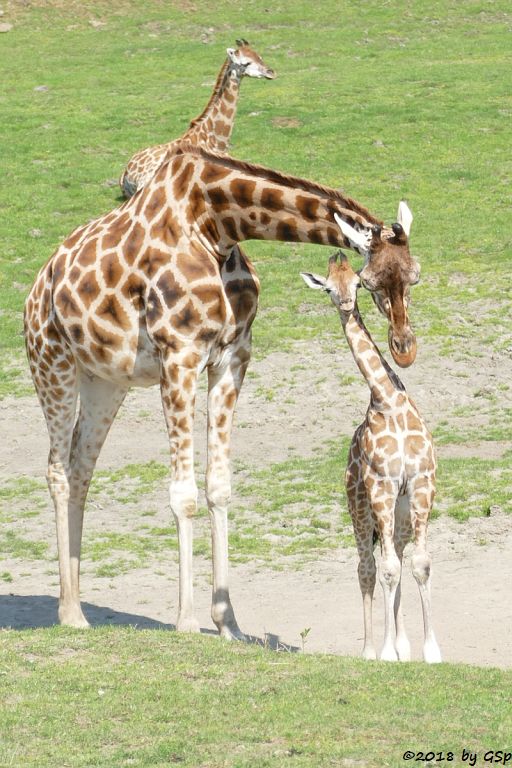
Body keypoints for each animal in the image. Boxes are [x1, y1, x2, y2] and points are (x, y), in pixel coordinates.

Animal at [24, 144, 420, 636]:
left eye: (416, 275)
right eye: (370, 283)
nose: (404, 349)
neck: (216, 225)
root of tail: (37, 288)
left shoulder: (232, 356)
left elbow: (218, 487)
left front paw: (228, 623)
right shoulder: (179, 355)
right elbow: (183, 495)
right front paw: (187, 622)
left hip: (105, 381)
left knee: (81, 469)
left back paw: (77, 605)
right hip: (51, 363)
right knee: (57, 470)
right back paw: (70, 615)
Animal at [302, 249, 442, 664]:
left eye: (357, 284)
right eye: (328, 288)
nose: (346, 303)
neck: (388, 400)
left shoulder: (420, 484)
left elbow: (419, 565)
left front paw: (430, 651)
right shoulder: (381, 487)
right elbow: (387, 571)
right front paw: (386, 652)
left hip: (399, 514)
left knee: (394, 557)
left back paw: (402, 645)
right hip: (360, 505)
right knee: (367, 566)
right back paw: (370, 651)